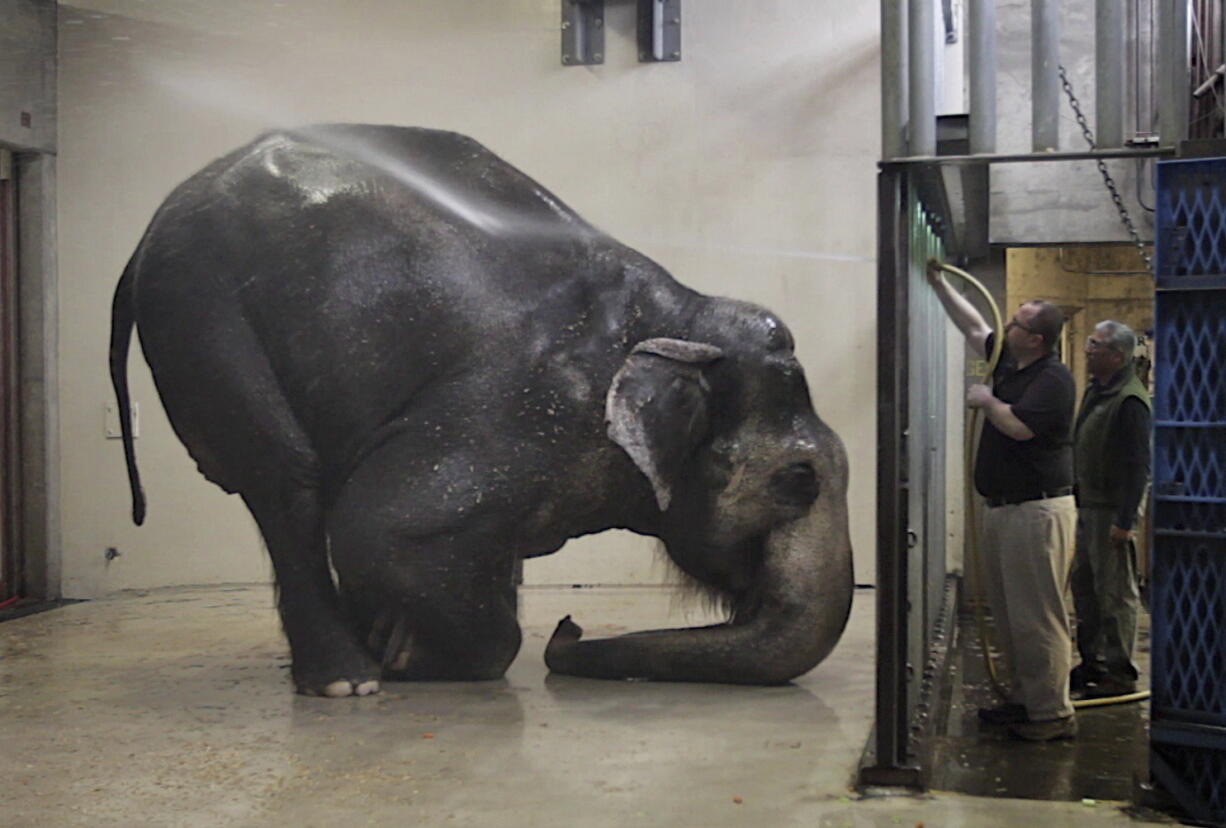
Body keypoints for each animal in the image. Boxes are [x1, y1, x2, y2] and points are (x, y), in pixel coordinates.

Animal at [110, 123, 848, 696]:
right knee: (286, 480)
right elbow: (379, 525)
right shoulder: (522, 411)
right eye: (798, 479)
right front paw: (408, 658)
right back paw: (350, 679)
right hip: (203, 312)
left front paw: (400, 640)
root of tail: (146, 235)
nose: (572, 626)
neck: (679, 317)